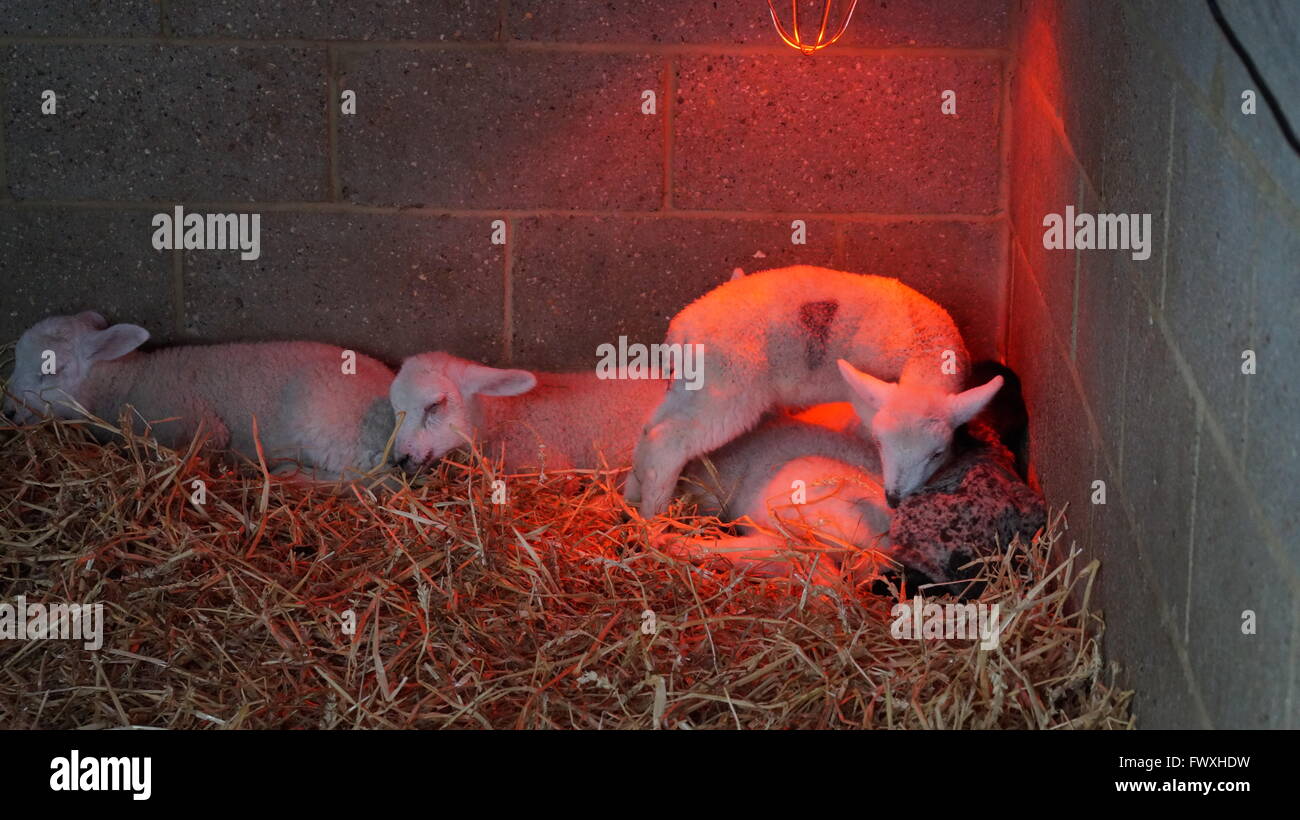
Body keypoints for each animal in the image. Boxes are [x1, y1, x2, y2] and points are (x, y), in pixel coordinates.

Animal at [2, 312, 397, 480]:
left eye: (52, 369)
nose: (8, 411)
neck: (128, 379)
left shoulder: (201, 430)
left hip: (333, 431)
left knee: (372, 482)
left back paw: (291, 476)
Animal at [626, 265, 1003, 516]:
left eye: (936, 453)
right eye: (881, 444)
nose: (894, 499)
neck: (923, 351)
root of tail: (681, 330)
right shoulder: (865, 401)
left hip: (691, 386)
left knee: (649, 428)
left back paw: (632, 499)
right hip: (726, 388)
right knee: (667, 442)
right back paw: (654, 518)